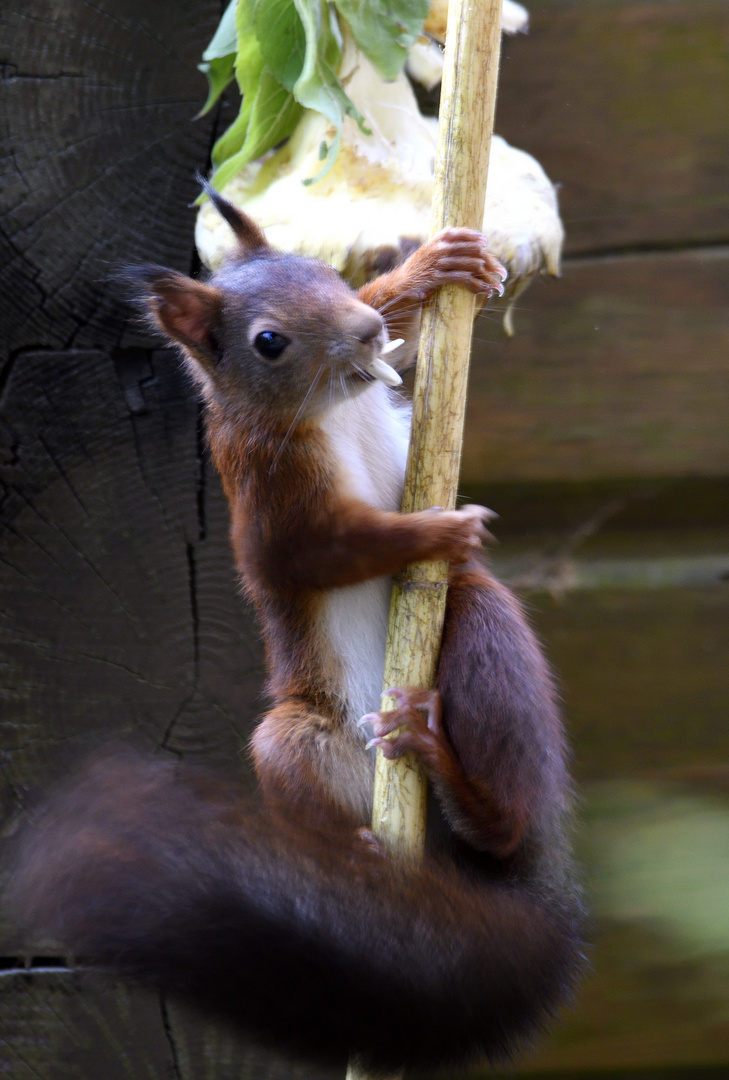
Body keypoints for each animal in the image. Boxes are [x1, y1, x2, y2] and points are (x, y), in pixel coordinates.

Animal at [5, 190, 583, 1075]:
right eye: (267, 342)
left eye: (328, 277)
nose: (362, 333)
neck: (331, 408)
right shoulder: (266, 491)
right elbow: (319, 550)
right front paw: (434, 530)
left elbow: (406, 324)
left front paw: (433, 269)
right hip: (295, 738)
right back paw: (376, 840)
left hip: (481, 640)